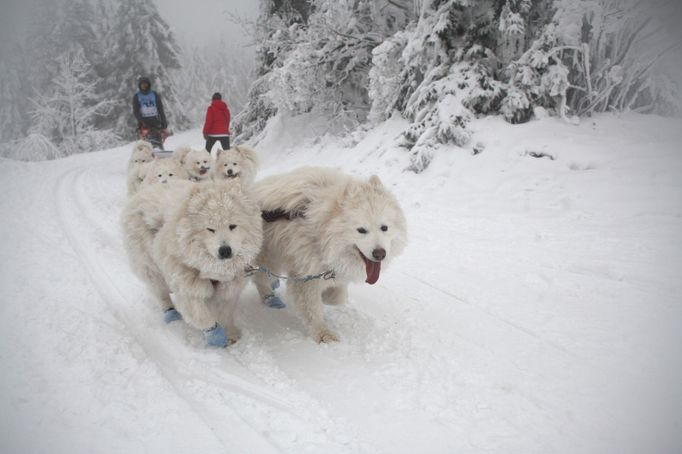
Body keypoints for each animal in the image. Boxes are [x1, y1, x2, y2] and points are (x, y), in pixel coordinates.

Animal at [121, 180, 262, 348]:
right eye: (210, 229)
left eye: (232, 226)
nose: (225, 250)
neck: (212, 269)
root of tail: (144, 190)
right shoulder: (187, 285)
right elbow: (200, 316)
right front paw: (215, 335)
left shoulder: (228, 290)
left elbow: (225, 314)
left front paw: (230, 334)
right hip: (150, 267)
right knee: (161, 293)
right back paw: (171, 314)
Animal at [252, 168, 406, 342]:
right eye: (361, 230)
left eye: (384, 227)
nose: (380, 254)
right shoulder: (304, 274)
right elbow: (312, 308)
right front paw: (324, 334)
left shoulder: (331, 268)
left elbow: (339, 296)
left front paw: (327, 296)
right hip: (267, 257)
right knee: (260, 278)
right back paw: (269, 298)